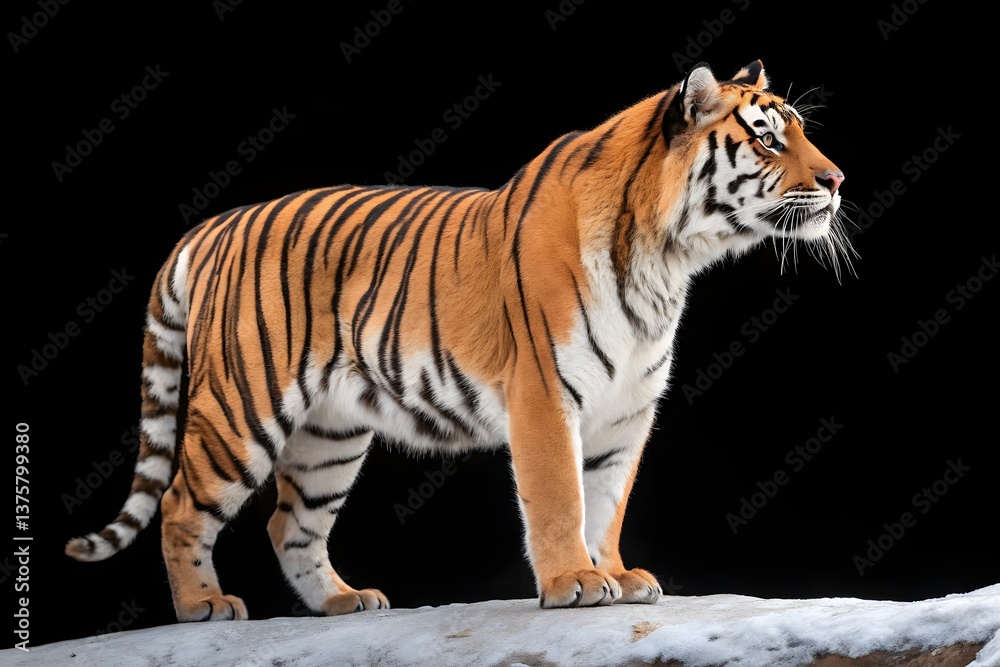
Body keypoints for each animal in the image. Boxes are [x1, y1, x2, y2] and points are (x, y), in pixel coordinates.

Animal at [65, 60, 849, 621]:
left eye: (801, 132)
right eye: (768, 139)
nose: (839, 179)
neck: (668, 256)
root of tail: (211, 226)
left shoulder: (627, 409)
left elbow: (607, 499)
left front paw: (615, 573)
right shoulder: (544, 393)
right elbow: (560, 496)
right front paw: (574, 581)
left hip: (330, 434)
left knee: (290, 524)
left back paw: (343, 600)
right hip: (241, 408)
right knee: (179, 505)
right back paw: (204, 605)